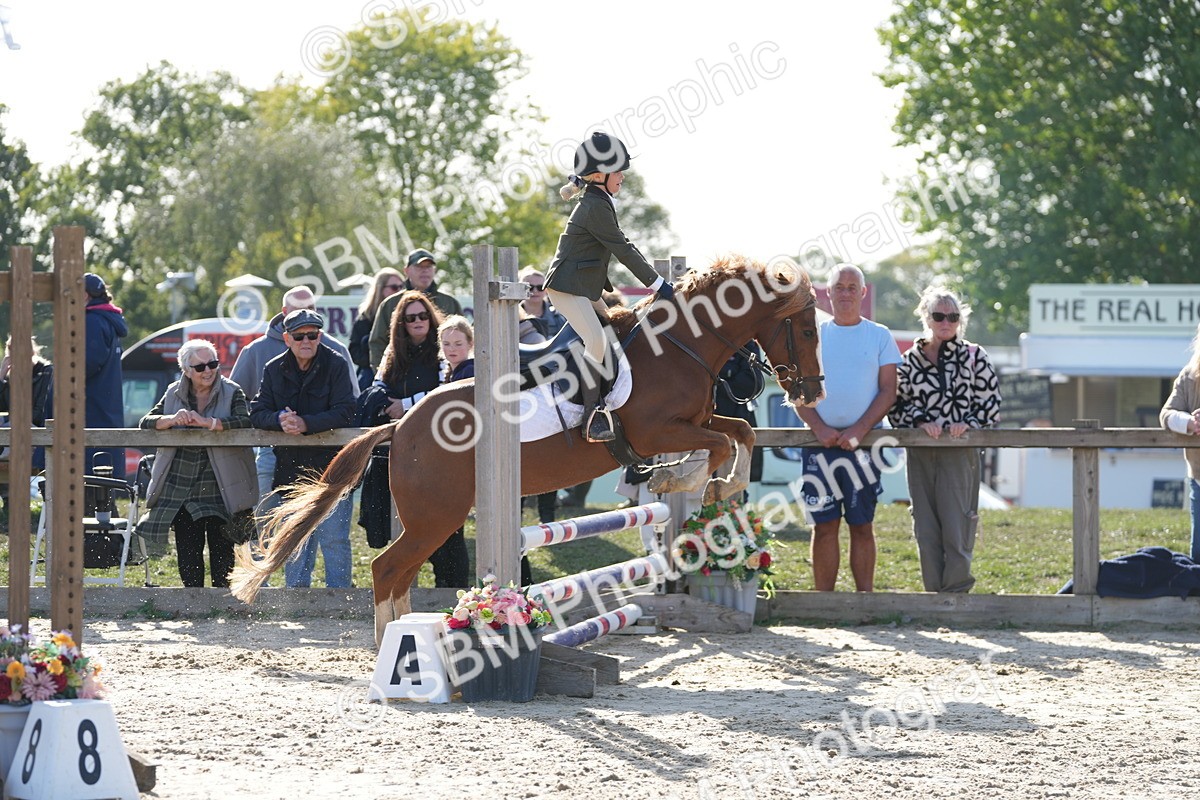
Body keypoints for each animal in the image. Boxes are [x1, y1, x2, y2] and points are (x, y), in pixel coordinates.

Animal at [230, 255, 823, 643]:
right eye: (805, 330)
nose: (810, 393)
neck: (680, 345)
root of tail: (400, 425)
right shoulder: (659, 431)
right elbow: (720, 443)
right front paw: (690, 480)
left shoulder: (693, 421)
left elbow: (739, 433)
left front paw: (705, 482)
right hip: (437, 514)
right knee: (385, 568)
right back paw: (391, 648)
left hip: (432, 516)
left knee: (397, 571)